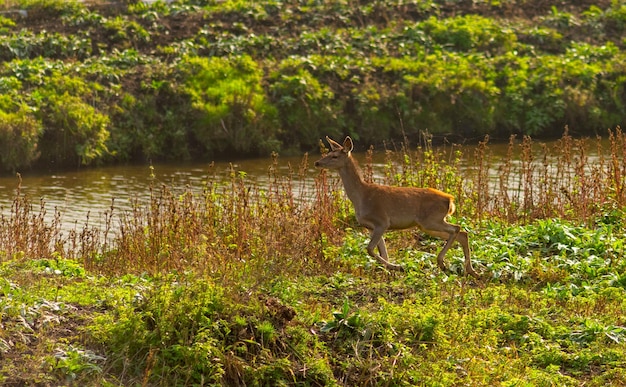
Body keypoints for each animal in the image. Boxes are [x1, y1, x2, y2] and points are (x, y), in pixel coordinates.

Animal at [312, 136, 478, 278]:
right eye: (328, 152)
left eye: (334, 156)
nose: (317, 163)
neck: (361, 196)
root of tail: (450, 200)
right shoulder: (371, 226)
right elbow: (382, 252)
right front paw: (391, 270)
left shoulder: (382, 221)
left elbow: (370, 249)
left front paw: (398, 267)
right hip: (427, 225)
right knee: (462, 233)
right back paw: (471, 271)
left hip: (431, 219)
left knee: (457, 229)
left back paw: (442, 263)